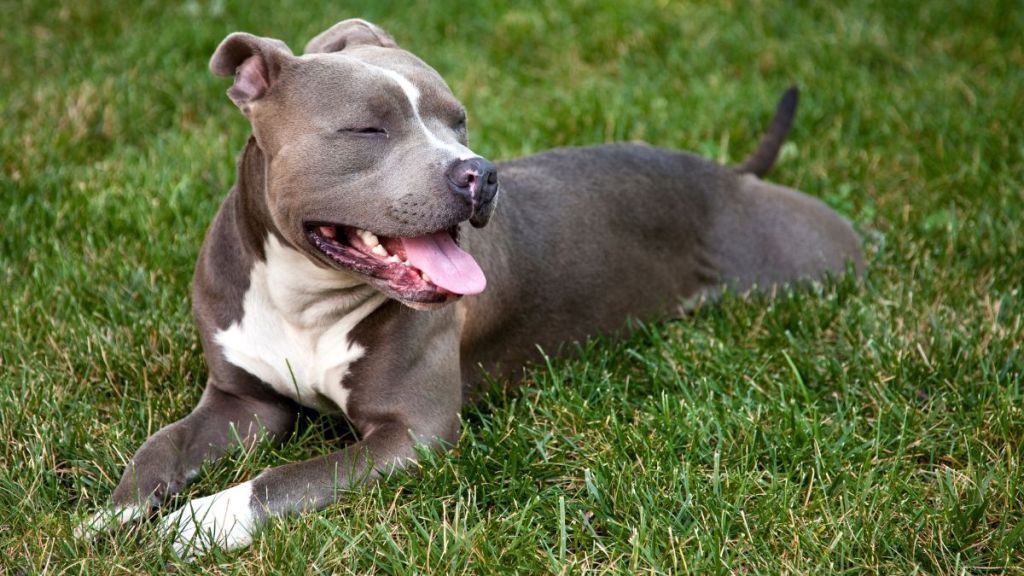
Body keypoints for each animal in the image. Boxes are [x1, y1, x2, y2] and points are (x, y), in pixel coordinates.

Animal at [77, 19, 864, 557]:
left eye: (458, 122)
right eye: (367, 129)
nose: (479, 172)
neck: (308, 294)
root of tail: (732, 176)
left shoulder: (410, 435)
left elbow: (284, 479)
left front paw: (199, 520)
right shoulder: (242, 402)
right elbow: (161, 448)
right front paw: (111, 515)